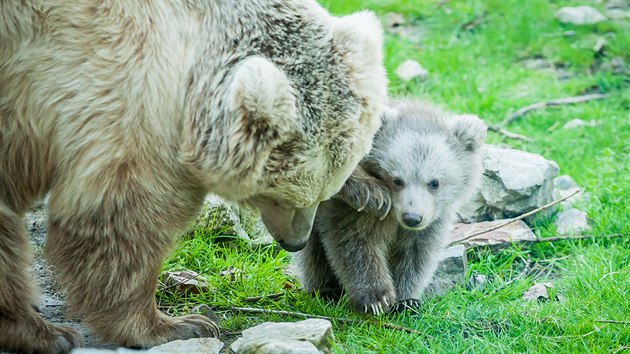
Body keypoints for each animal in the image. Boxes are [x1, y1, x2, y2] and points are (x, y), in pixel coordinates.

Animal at [0, 1, 388, 352]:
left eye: (324, 194)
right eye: (283, 197)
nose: (295, 242)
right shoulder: (121, 85)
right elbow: (122, 217)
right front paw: (178, 324)